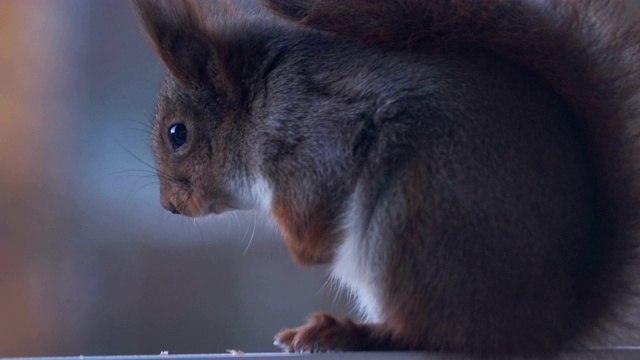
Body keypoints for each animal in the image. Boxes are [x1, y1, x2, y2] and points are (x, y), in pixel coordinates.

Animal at [131, 0, 640, 358]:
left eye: (178, 134)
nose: (170, 205)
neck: (258, 101)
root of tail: (543, 324)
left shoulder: (318, 132)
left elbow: (317, 198)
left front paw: (306, 250)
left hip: (411, 220)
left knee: (429, 334)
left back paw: (347, 332)